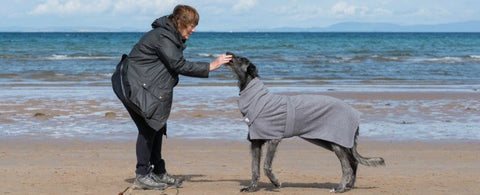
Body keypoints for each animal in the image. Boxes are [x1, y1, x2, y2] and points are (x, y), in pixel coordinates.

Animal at [225, 52, 386, 193]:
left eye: (240, 58)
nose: (227, 52)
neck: (257, 98)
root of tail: (354, 115)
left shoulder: (273, 139)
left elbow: (266, 166)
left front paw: (276, 182)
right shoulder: (255, 142)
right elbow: (254, 168)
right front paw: (251, 188)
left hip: (336, 143)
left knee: (346, 166)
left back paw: (340, 188)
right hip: (333, 142)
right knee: (353, 162)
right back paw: (349, 185)